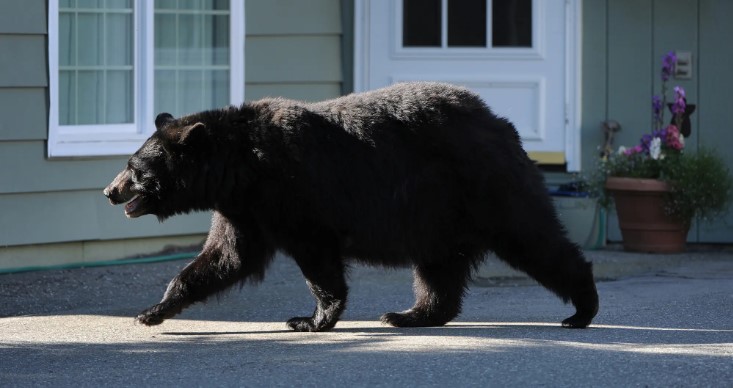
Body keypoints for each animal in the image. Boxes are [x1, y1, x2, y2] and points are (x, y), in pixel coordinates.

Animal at [101, 82, 596, 330]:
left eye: (135, 167)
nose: (110, 191)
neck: (241, 168)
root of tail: (504, 125)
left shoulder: (291, 192)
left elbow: (316, 257)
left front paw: (311, 318)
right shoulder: (243, 208)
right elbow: (224, 258)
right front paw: (152, 311)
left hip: (487, 187)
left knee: (535, 239)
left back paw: (582, 309)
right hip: (438, 214)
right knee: (438, 268)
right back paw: (409, 315)